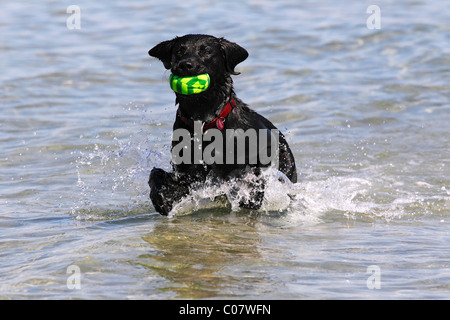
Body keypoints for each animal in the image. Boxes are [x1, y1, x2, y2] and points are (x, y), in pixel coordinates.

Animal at [147, 33, 296, 215]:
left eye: (206, 51)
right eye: (179, 51)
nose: (185, 65)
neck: (203, 119)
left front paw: (250, 196)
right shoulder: (188, 172)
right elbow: (157, 175)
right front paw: (161, 200)